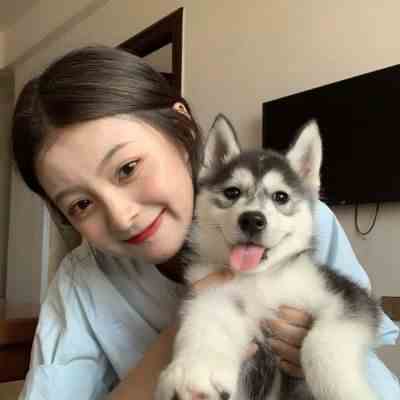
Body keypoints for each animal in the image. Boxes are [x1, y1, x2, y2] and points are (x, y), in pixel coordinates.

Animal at [155, 115, 380, 400]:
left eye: (280, 197)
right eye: (232, 192)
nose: (252, 219)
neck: (259, 278)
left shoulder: (347, 296)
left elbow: (320, 344)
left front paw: (345, 390)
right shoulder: (212, 291)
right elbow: (206, 319)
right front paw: (194, 369)